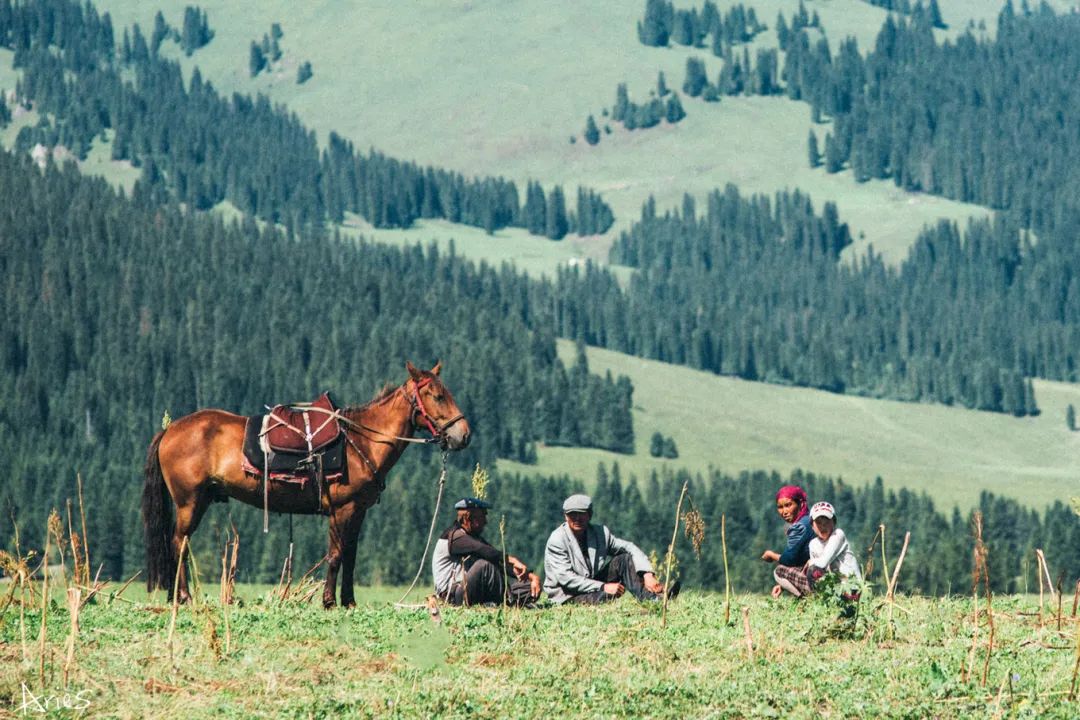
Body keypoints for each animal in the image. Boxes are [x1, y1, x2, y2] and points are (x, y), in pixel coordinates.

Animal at [140, 362, 468, 604]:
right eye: (437, 396)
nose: (463, 434)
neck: (362, 440)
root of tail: (170, 430)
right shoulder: (341, 510)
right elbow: (336, 555)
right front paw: (329, 601)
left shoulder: (358, 511)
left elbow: (350, 555)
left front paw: (348, 601)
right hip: (189, 502)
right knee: (179, 543)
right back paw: (182, 596)